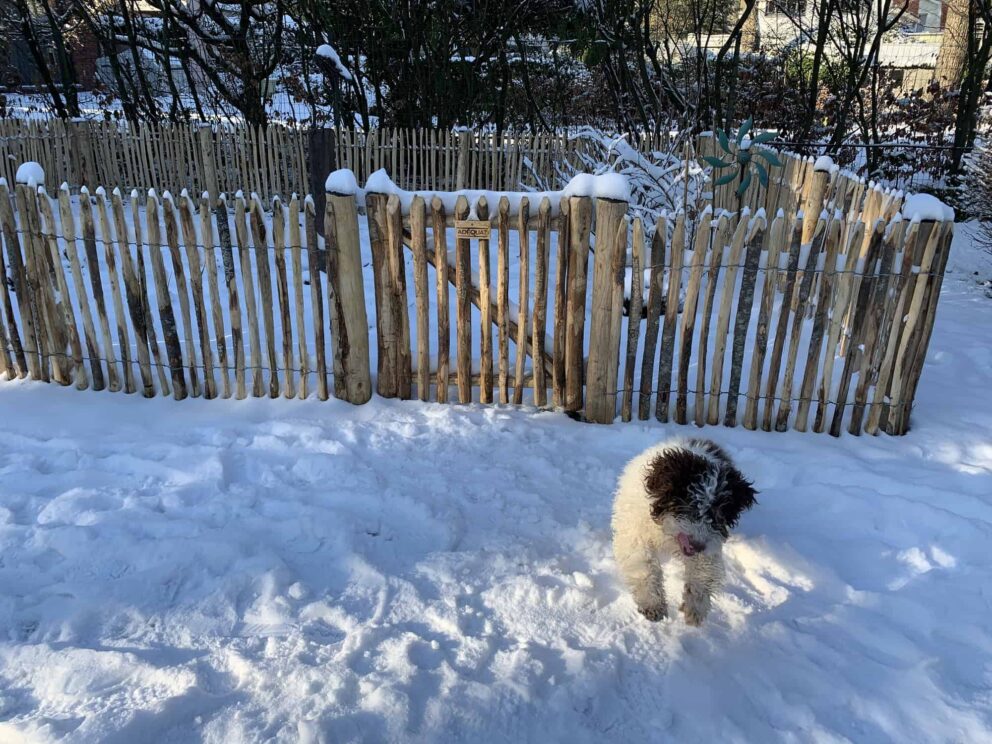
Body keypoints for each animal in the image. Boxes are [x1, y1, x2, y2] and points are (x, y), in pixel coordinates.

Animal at [608, 438, 756, 624]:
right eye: (691, 506)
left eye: (719, 515)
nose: (697, 546)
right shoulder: (634, 532)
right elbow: (643, 564)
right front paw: (652, 603)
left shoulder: (709, 543)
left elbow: (703, 570)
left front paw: (695, 607)